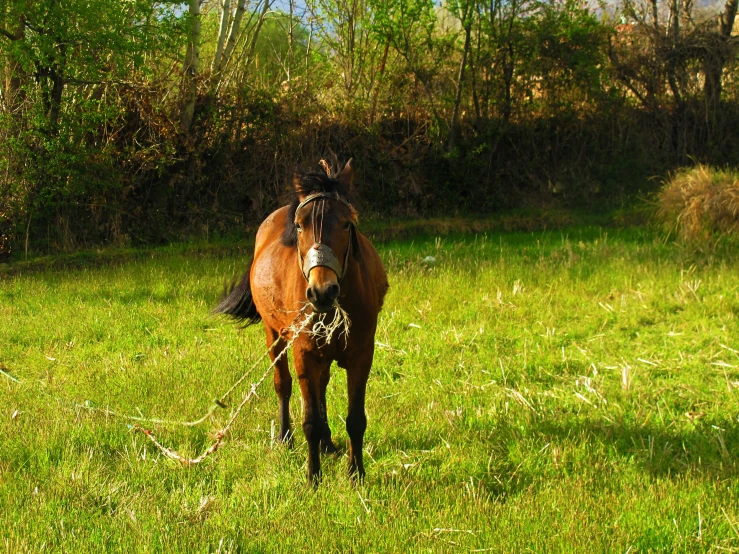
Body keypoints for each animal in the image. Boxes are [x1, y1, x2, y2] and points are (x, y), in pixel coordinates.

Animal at [212, 158, 388, 478]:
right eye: (299, 225)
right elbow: (310, 421)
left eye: (347, 223)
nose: (322, 291)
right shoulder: (303, 354)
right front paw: (313, 477)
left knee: (322, 387)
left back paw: (328, 443)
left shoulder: (362, 355)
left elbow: (356, 419)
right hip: (275, 336)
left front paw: (356, 473)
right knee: (283, 385)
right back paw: (285, 437)